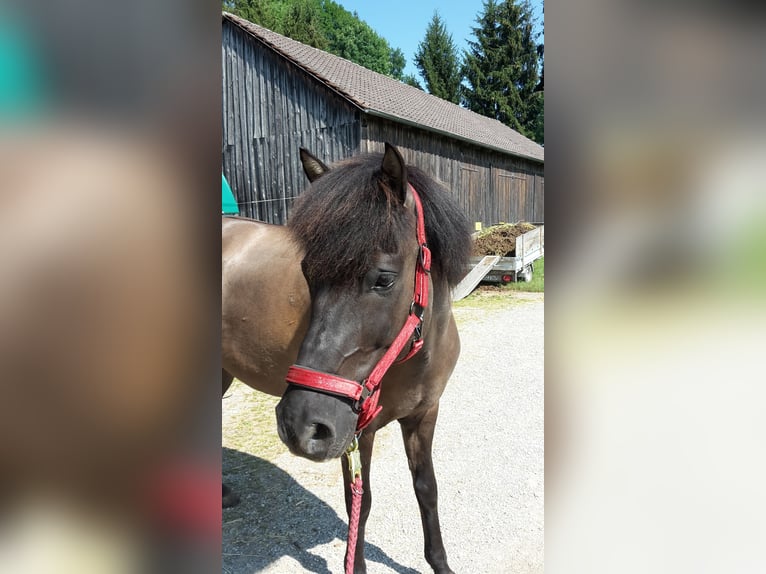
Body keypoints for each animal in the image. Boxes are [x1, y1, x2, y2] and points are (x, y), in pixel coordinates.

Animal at [222, 143, 472, 574]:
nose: (299, 424)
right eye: (307, 273)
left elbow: (427, 488)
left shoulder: (424, 414)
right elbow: (361, 502)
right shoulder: (355, 432)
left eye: (384, 279)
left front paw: (440, 563)